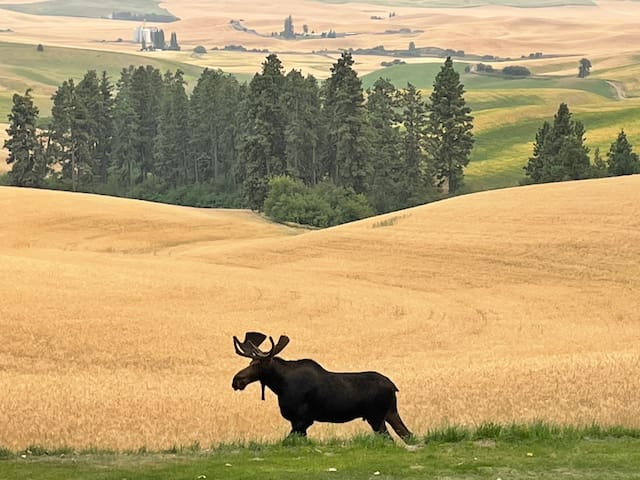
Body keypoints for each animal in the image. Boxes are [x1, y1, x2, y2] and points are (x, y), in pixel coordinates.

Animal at [232, 332, 412, 440]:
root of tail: (393, 386)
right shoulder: (299, 422)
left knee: (390, 438)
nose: (236, 380)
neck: (279, 385)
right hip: (390, 413)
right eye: (250, 362)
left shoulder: (302, 419)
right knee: (407, 434)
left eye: (258, 364)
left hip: (376, 417)